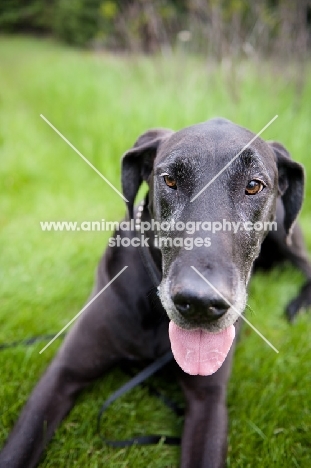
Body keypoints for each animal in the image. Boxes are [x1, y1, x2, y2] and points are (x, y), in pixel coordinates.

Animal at [0, 119, 311, 466]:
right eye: (170, 180)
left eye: (254, 185)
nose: (200, 303)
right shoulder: (64, 372)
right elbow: (20, 446)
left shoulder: (208, 400)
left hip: (284, 234)